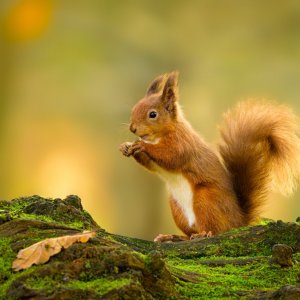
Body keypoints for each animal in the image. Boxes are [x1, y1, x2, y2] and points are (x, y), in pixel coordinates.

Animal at [119, 71, 300, 243]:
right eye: (134, 108)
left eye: (152, 114)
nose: (133, 128)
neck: (158, 136)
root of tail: (238, 222)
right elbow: (151, 164)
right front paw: (126, 146)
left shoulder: (182, 144)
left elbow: (170, 156)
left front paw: (141, 146)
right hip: (177, 209)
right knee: (189, 234)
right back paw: (172, 237)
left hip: (206, 201)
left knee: (215, 230)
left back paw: (203, 234)